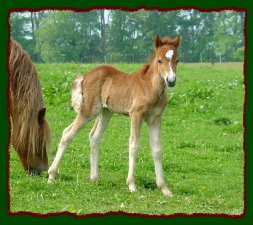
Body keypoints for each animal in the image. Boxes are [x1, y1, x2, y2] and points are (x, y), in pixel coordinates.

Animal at [48, 34, 181, 196]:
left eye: (177, 60)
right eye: (159, 60)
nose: (171, 80)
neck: (151, 87)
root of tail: (85, 75)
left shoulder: (155, 119)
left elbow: (157, 149)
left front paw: (164, 188)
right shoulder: (136, 115)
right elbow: (134, 146)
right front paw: (132, 185)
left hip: (106, 112)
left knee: (94, 136)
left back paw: (94, 178)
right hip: (88, 110)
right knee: (67, 133)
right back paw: (51, 175)